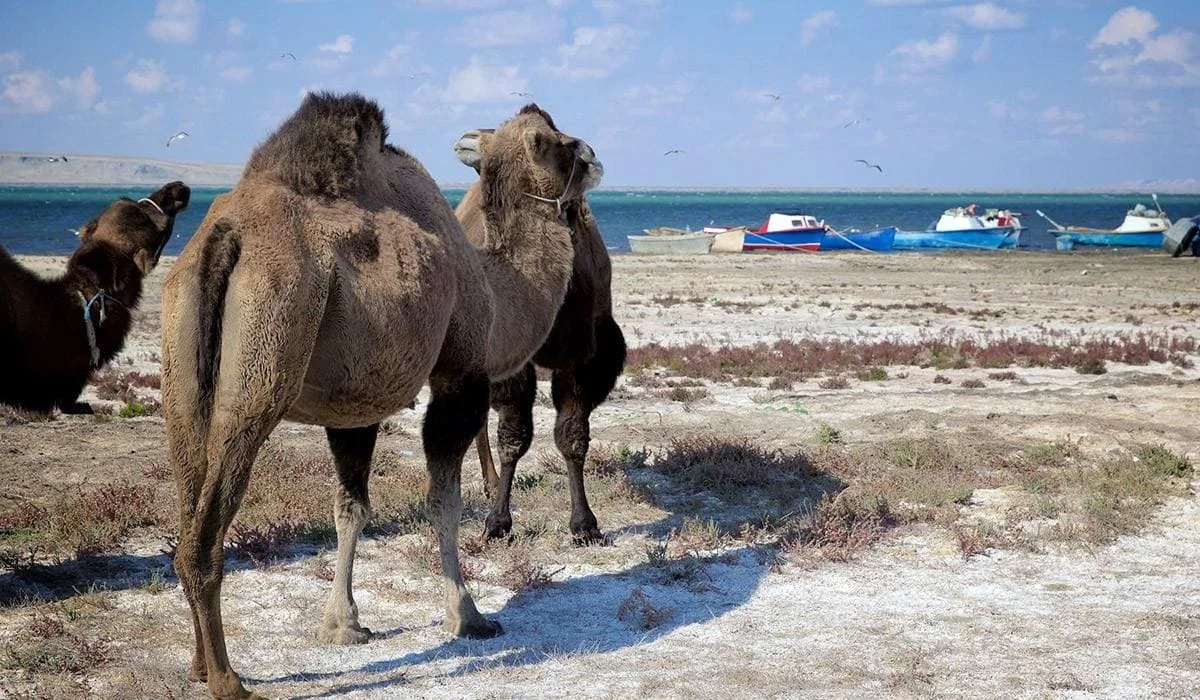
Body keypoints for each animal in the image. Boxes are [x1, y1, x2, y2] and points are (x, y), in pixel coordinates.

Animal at [162, 94, 600, 700]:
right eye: (559, 142)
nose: (594, 156)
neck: (494, 290)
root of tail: (224, 236)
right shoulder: (460, 377)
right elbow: (443, 501)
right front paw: (469, 616)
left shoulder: (355, 404)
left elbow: (351, 508)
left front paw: (343, 624)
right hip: (267, 348)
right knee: (205, 531)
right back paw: (229, 681)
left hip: (181, 370)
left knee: (186, 502)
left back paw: (198, 665)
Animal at [453, 120, 628, 545]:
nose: (468, 139)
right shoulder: (513, 354)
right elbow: (513, 436)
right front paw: (497, 521)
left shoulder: (587, 354)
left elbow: (572, 435)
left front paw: (584, 524)